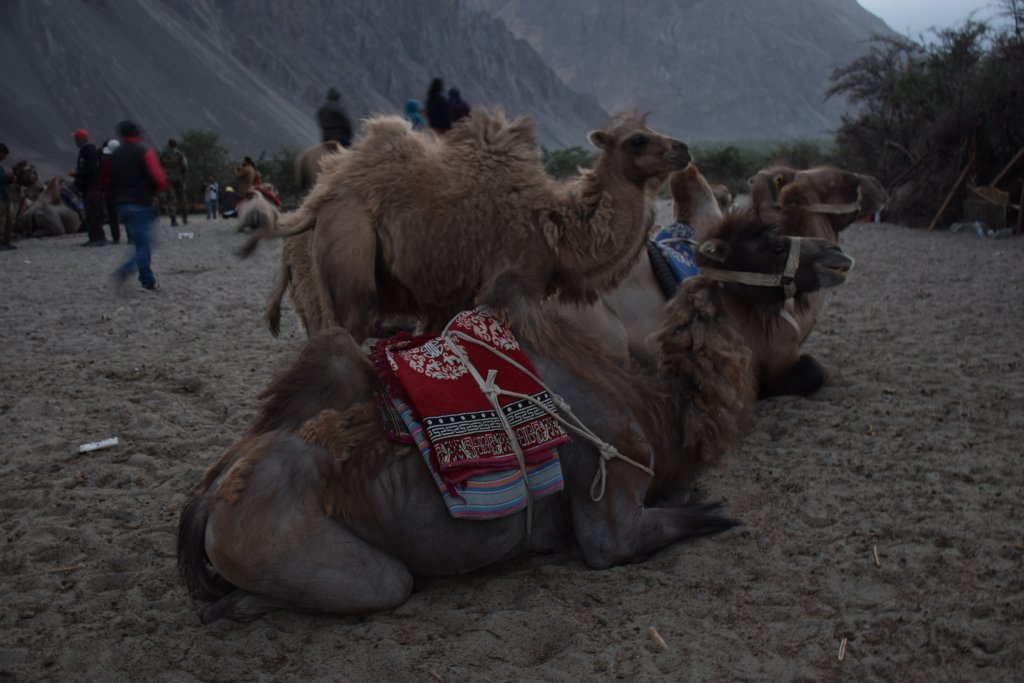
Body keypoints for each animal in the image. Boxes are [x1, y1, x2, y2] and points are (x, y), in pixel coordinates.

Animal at [178, 215, 856, 626]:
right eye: (770, 240)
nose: (837, 253)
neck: (661, 404)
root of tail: (209, 500)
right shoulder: (610, 496)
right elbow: (633, 538)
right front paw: (713, 511)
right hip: (302, 549)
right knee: (374, 587)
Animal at [240, 109, 692, 342]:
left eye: (651, 129)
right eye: (637, 140)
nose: (683, 148)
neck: (556, 235)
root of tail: (317, 201)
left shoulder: (448, 299)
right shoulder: (511, 287)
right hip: (349, 247)